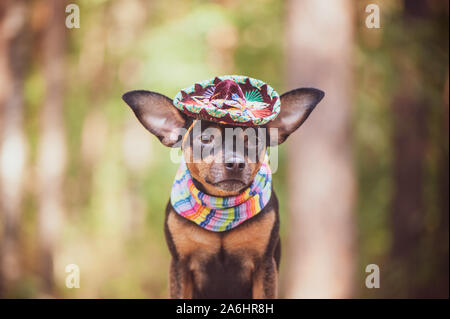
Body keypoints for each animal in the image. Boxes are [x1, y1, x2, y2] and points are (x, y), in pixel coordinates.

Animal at [123, 86, 324, 298]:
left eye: (254, 140)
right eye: (205, 138)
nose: (235, 163)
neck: (221, 205)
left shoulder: (264, 266)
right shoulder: (180, 265)